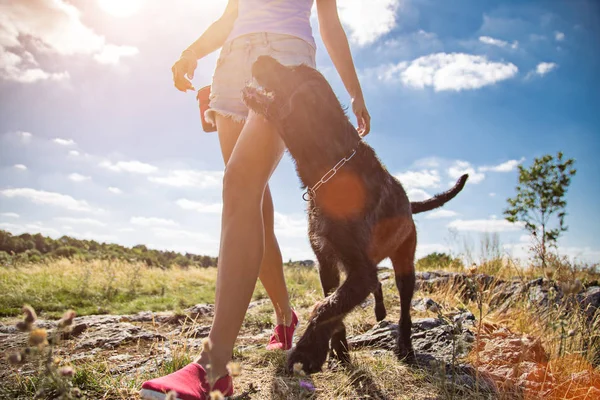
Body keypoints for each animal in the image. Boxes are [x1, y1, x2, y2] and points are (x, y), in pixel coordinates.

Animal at [243, 57, 468, 376]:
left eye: (292, 70)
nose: (258, 58)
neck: (332, 169)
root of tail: (409, 205)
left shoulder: (359, 269)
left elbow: (326, 306)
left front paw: (307, 352)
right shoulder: (327, 262)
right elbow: (333, 303)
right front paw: (338, 350)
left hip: (404, 263)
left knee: (404, 307)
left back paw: (405, 347)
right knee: (377, 287)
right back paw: (379, 313)